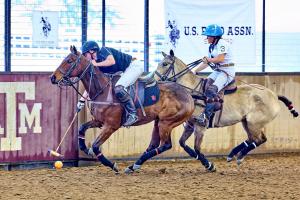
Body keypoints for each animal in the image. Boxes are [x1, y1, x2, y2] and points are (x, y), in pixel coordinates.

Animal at [49, 45, 195, 173]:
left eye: (69, 61)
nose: (52, 77)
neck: (102, 90)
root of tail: (189, 95)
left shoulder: (111, 125)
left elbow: (96, 146)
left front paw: (112, 165)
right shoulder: (99, 121)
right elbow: (81, 129)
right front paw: (86, 149)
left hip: (167, 122)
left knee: (166, 145)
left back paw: (134, 165)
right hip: (158, 121)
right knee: (154, 144)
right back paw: (133, 166)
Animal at [155, 50, 298, 172]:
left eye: (165, 64)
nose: (154, 81)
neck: (193, 92)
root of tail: (274, 95)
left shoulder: (200, 126)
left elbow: (197, 148)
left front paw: (209, 165)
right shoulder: (190, 124)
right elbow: (183, 144)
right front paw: (206, 163)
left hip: (254, 122)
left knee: (259, 140)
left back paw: (238, 156)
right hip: (246, 122)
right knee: (253, 139)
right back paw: (233, 154)